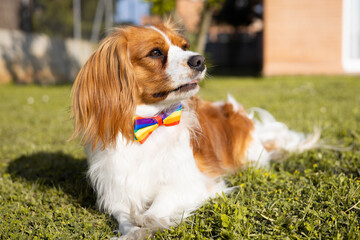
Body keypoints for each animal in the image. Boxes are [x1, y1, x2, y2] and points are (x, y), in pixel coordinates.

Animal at [70, 21, 318, 239]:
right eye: (156, 52)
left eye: (184, 46)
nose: (200, 60)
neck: (151, 122)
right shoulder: (118, 193)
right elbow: (125, 219)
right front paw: (132, 232)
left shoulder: (197, 183)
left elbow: (158, 206)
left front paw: (148, 222)